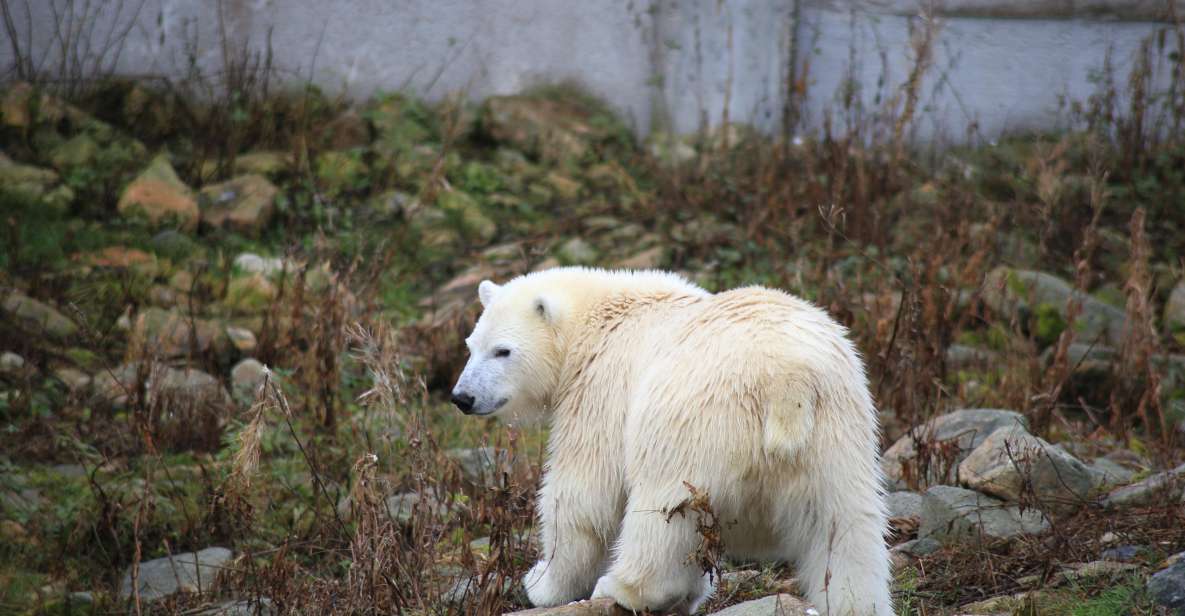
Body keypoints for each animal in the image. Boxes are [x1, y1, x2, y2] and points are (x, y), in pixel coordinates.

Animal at [450, 266, 891, 611]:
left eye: (503, 351)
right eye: (471, 346)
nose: (462, 397)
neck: (595, 320)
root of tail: (787, 377)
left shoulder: (601, 387)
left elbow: (583, 493)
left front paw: (542, 582)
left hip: (693, 420)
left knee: (662, 513)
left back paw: (624, 587)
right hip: (837, 429)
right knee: (846, 530)